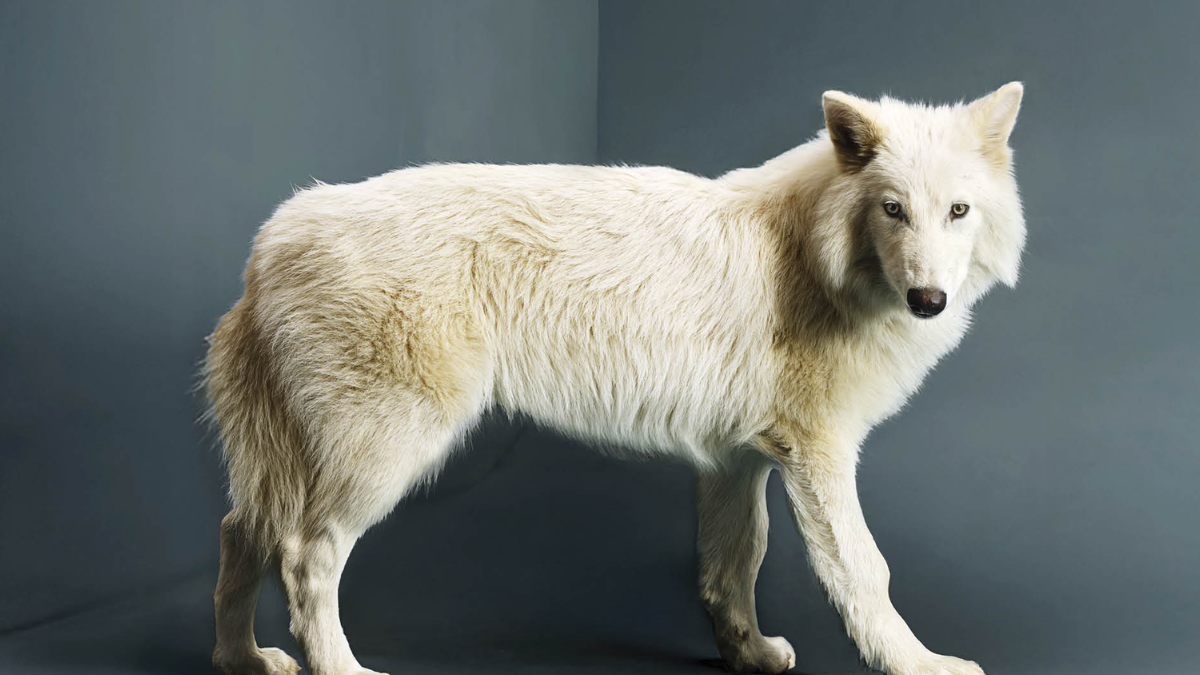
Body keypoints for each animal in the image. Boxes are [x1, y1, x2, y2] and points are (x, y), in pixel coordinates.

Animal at [204, 83, 1025, 675]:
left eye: (957, 211)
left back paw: (243, 659)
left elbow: (735, 566)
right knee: (304, 555)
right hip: (384, 454)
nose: (929, 300)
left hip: (290, 463)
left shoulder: (738, 462)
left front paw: (750, 654)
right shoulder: (818, 455)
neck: (816, 257)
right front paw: (921, 664)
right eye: (893, 209)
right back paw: (339, 668)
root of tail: (270, 240)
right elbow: (865, 570)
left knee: (239, 531)